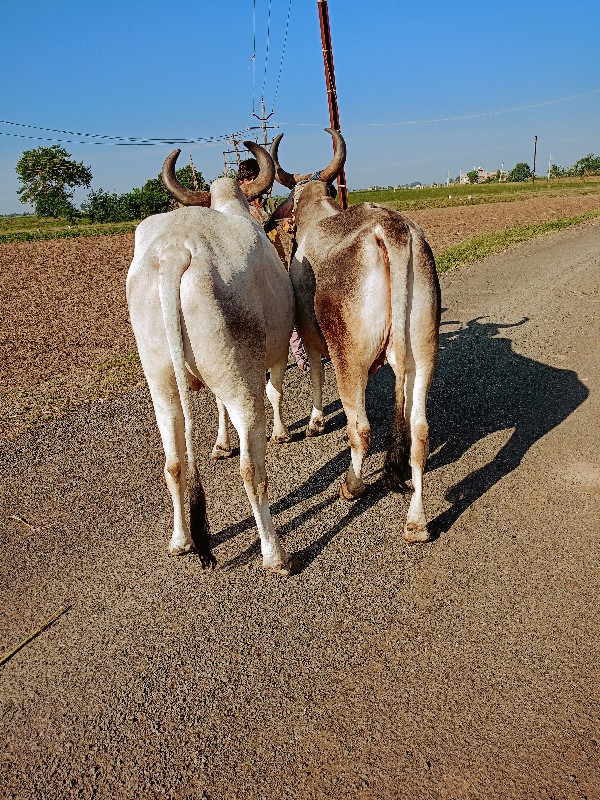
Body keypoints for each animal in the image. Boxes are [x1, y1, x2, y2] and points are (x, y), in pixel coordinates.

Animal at [129, 144, 302, 576]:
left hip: (162, 382)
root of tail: (175, 251)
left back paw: (181, 541)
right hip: (239, 382)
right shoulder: (272, 355)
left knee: (174, 463)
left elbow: (216, 410)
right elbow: (275, 392)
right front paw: (281, 432)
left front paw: (221, 444)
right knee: (252, 471)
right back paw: (275, 554)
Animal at [268, 133, 440, 544]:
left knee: (360, 428)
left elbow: (315, 372)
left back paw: (352, 485)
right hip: (423, 355)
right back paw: (416, 522)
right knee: (419, 433)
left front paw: (315, 422)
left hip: (351, 360)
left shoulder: (311, 334)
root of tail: (392, 231)